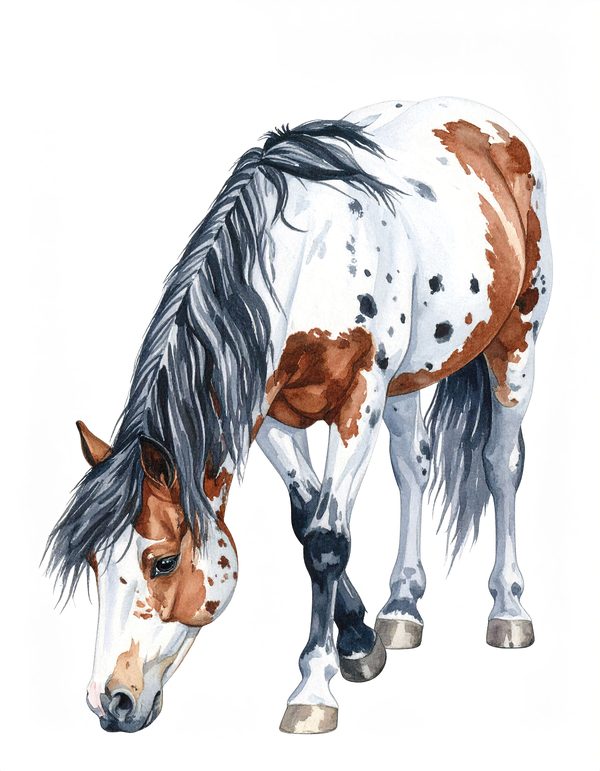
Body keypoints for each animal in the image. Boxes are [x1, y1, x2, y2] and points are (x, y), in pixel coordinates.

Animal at [46, 96, 552, 734]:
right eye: (91, 562)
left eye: (161, 562)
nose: (110, 703)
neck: (307, 260)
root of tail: (485, 120)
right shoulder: (268, 417)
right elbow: (307, 519)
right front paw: (360, 637)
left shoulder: (360, 400)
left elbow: (327, 540)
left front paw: (315, 688)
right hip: (408, 379)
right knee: (412, 469)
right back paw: (402, 606)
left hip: (519, 338)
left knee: (500, 463)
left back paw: (508, 609)